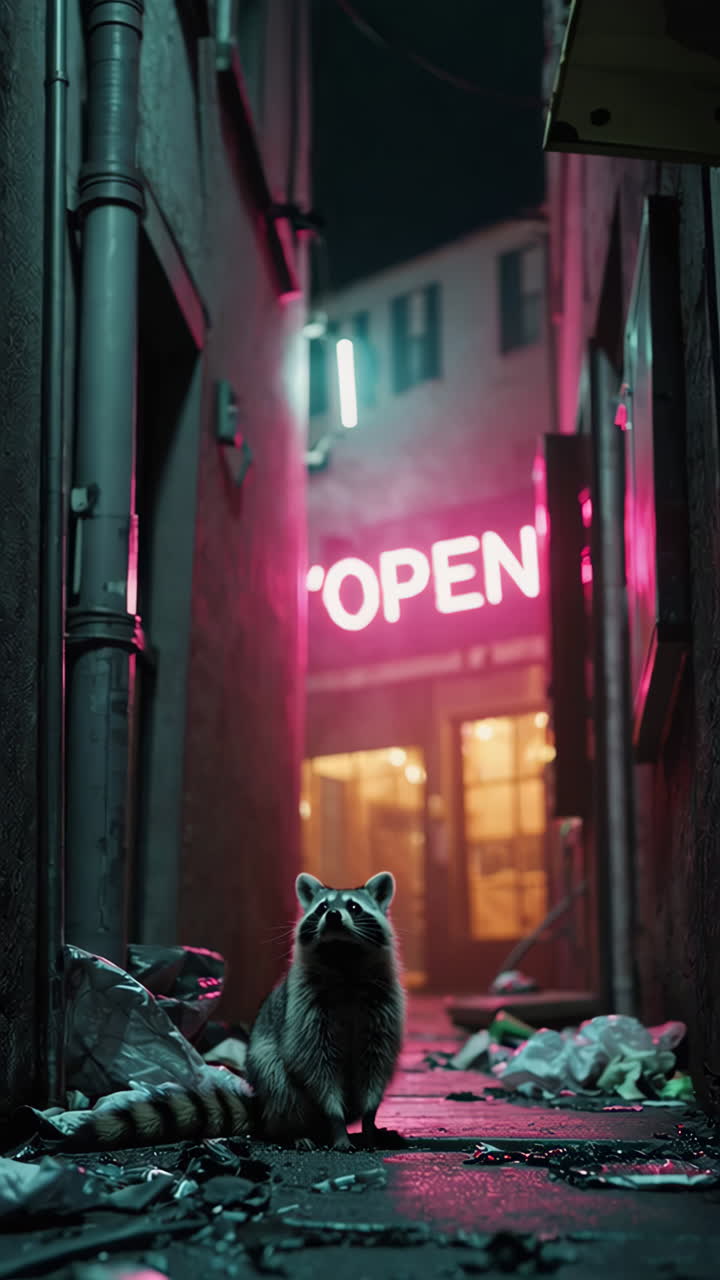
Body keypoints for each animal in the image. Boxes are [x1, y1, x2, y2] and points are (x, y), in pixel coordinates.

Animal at [246, 871, 405, 1150]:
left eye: (354, 907)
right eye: (321, 908)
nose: (332, 915)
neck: (343, 958)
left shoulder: (383, 1007)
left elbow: (376, 1062)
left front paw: (369, 1121)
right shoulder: (305, 1010)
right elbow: (316, 1065)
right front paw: (337, 1122)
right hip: (264, 1062)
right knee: (279, 1083)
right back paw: (294, 1131)